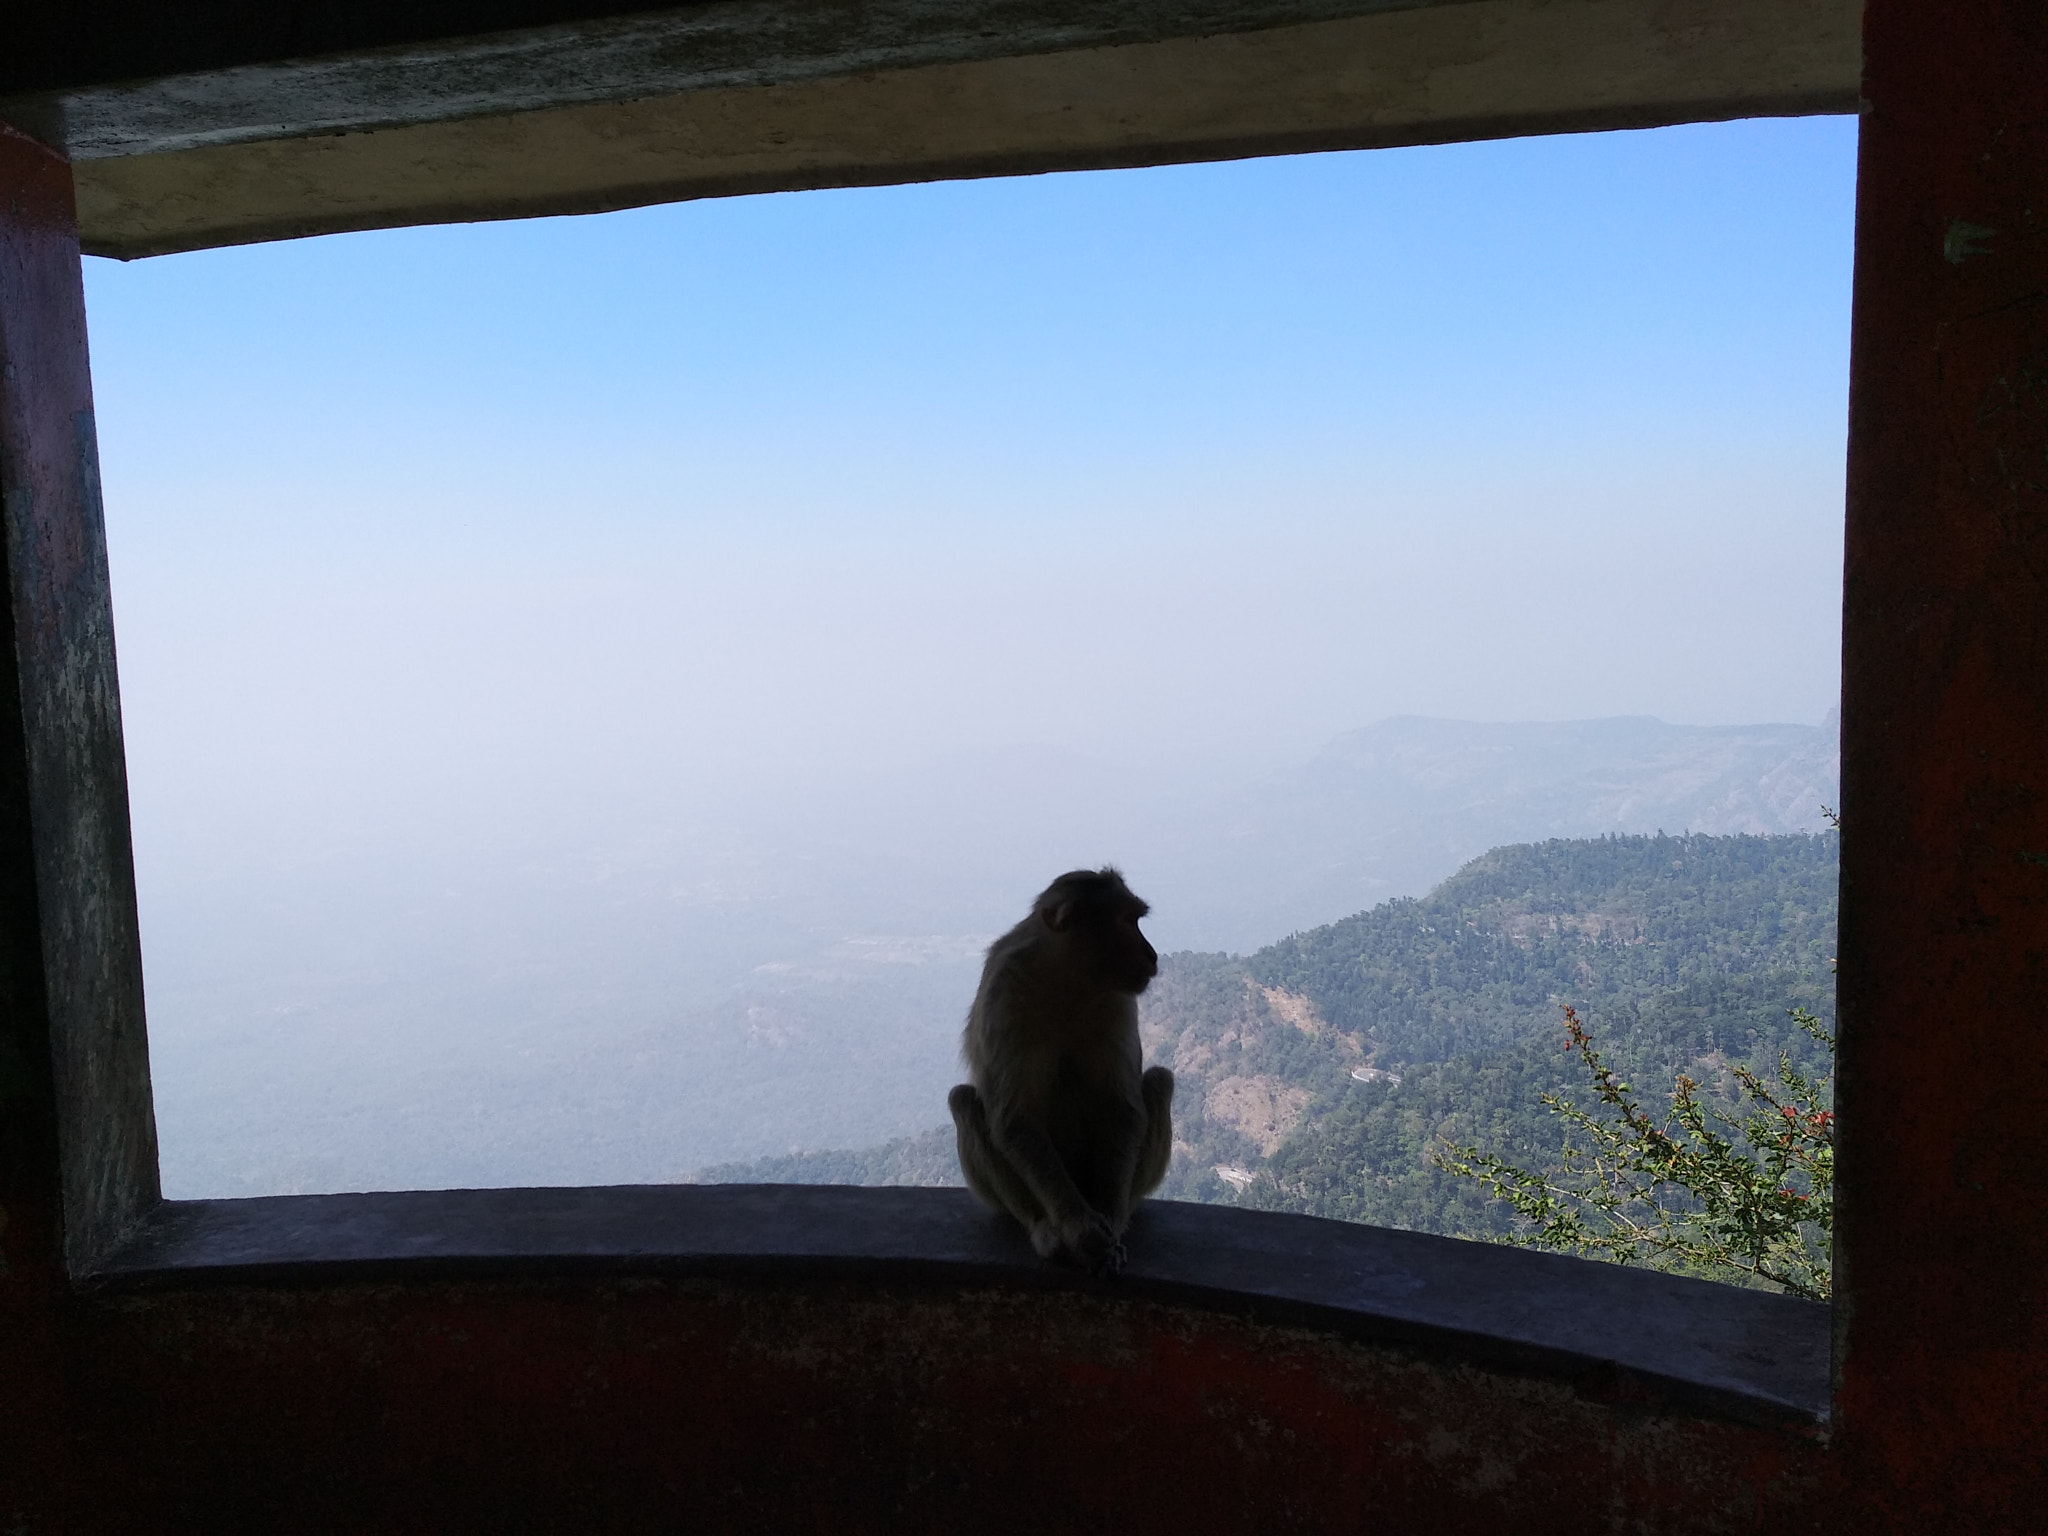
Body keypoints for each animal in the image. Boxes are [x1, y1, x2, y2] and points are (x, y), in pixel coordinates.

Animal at [948, 867, 1175, 1276]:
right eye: (1126, 921)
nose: (1151, 954)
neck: (1068, 982)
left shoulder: (1117, 1000)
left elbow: (1121, 1108)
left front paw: (1109, 1223)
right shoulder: (1004, 993)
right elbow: (1014, 1119)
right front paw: (1079, 1229)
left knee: (1159, 1081)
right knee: (966, 1101)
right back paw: (1043, 1228)